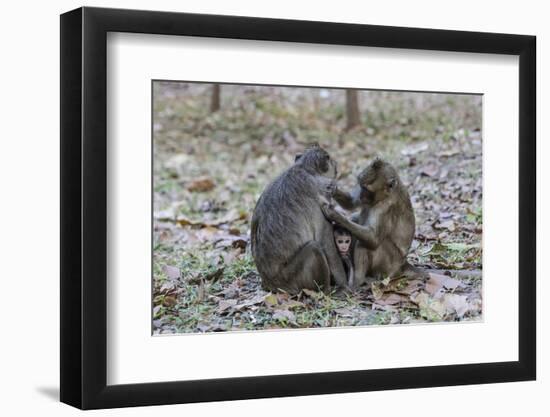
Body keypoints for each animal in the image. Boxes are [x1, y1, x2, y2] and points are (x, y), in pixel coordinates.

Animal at [251, 145, 350, 294]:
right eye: (330, 159)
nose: (336, 164)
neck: (303, 167)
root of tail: (269, 283)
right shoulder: (320, 199)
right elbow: (326, 244)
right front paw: (344, 285)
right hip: (290, 278)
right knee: (314, 248)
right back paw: (326, 290)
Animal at [322, 156, 420, 286]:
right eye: (360, 185)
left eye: (367, 189)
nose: (361, 195)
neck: (387, 195)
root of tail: (402, 265)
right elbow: (351, 202)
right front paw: (332, 189)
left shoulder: (385, 208)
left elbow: (373, 239)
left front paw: (335, 215)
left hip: (389, 265)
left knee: (365, 245)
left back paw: (358, 281)